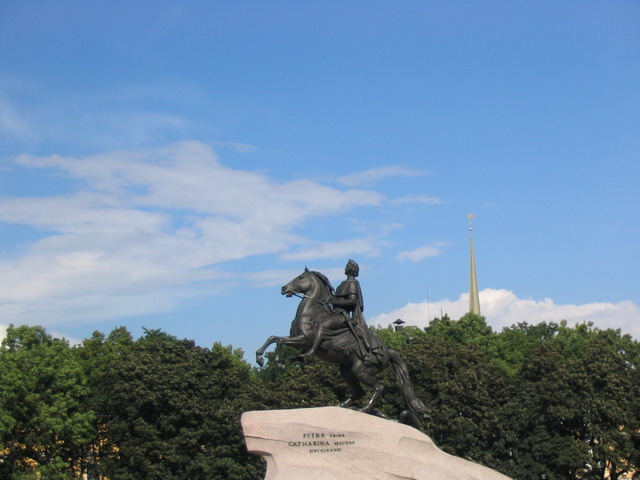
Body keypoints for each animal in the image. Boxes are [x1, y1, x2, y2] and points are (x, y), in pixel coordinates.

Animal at [256, 266, 430, 428]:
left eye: (301, 277)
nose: (284, 288)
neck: (312, 313)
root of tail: (388, 351)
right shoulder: (296, 339)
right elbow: (273, 338)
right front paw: (261, 358)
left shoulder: (304, 340)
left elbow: (279, 341)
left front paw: (279, 363)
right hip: (346, 369)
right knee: (359, 392)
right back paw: (342, 407)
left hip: (361, 370)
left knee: (379, 387)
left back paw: (364, 409)